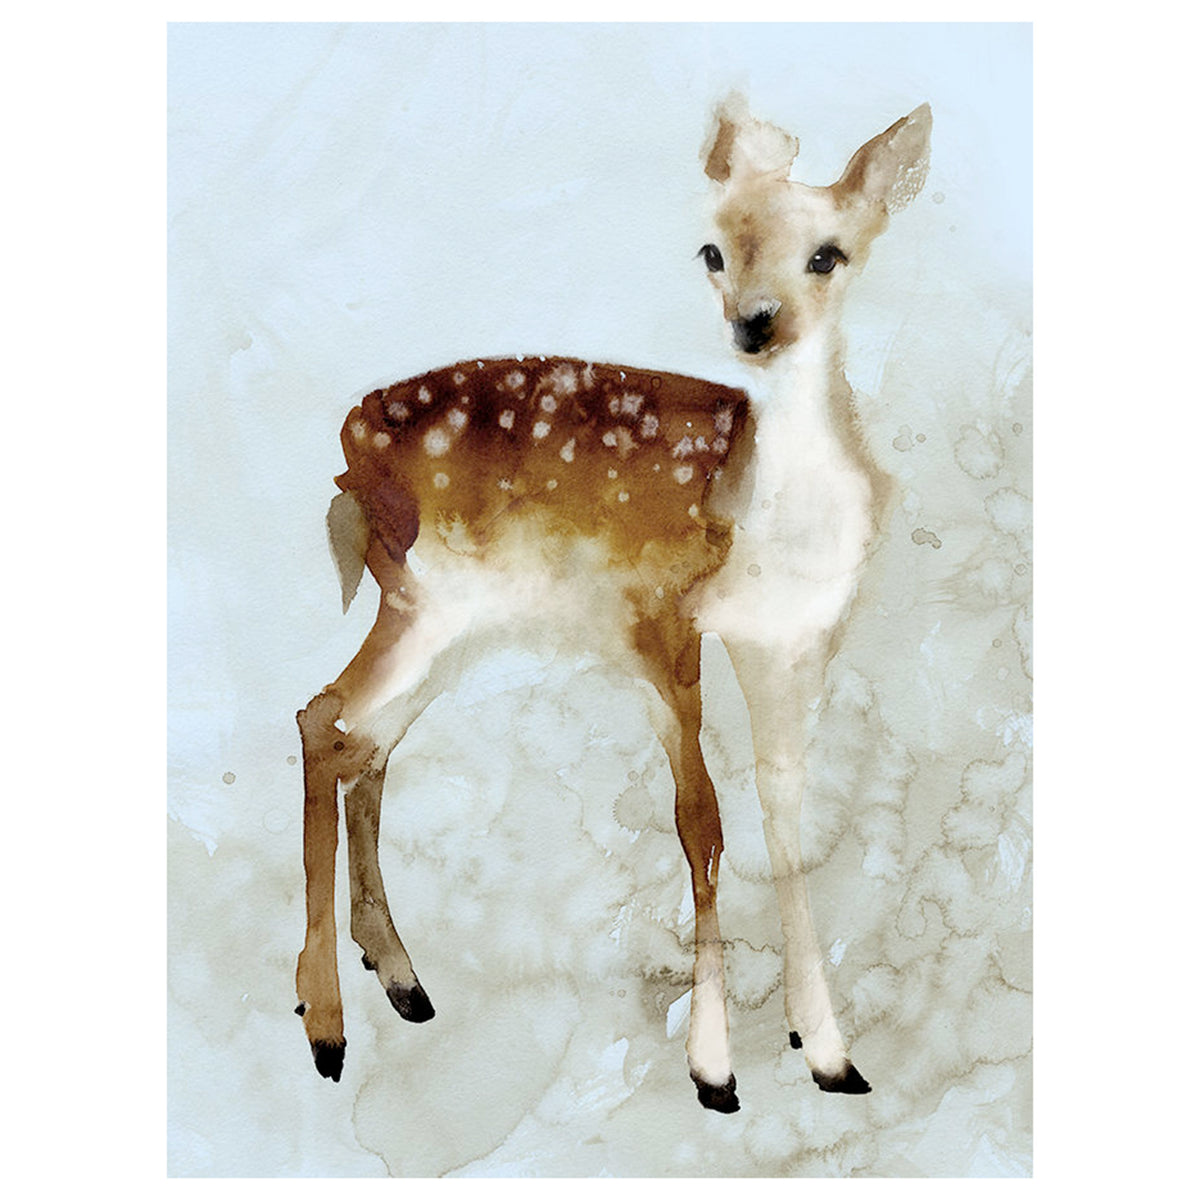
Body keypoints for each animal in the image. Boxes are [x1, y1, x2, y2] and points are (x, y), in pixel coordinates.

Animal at [293, 96, 932, 1114]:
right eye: (712, 250)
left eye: (827, 253)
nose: (756, 325)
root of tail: (350, 442)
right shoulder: (658, 619)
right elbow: (702, 826)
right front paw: (714, 1070)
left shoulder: (794, 642)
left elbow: (784, 822)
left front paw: (828, 1053)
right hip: (427, 596)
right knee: (325, 721)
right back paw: (325, 1027)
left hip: (453, 623)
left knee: (365, 740)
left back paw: (399, 979)